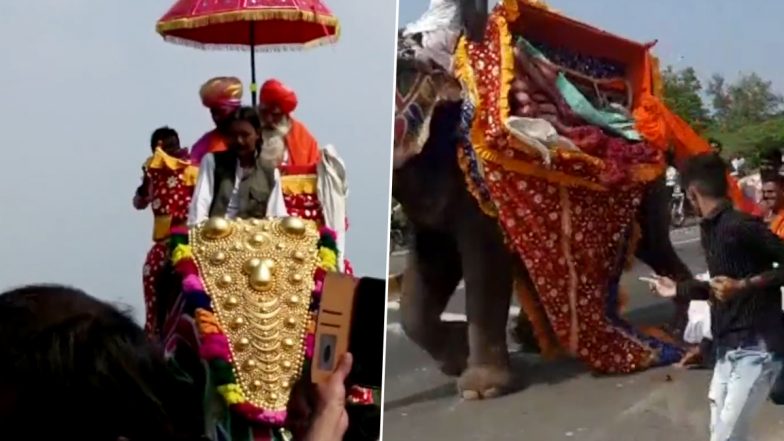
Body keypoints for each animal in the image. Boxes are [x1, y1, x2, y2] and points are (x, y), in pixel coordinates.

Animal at [392, 0, 692, 398]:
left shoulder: (472, 185)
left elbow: (484, 263)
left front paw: (481, 390)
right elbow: (425, 279)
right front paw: (457, 361)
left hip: (652, 189)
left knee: (655, 244)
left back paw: (678, 327)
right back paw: (536, 340)